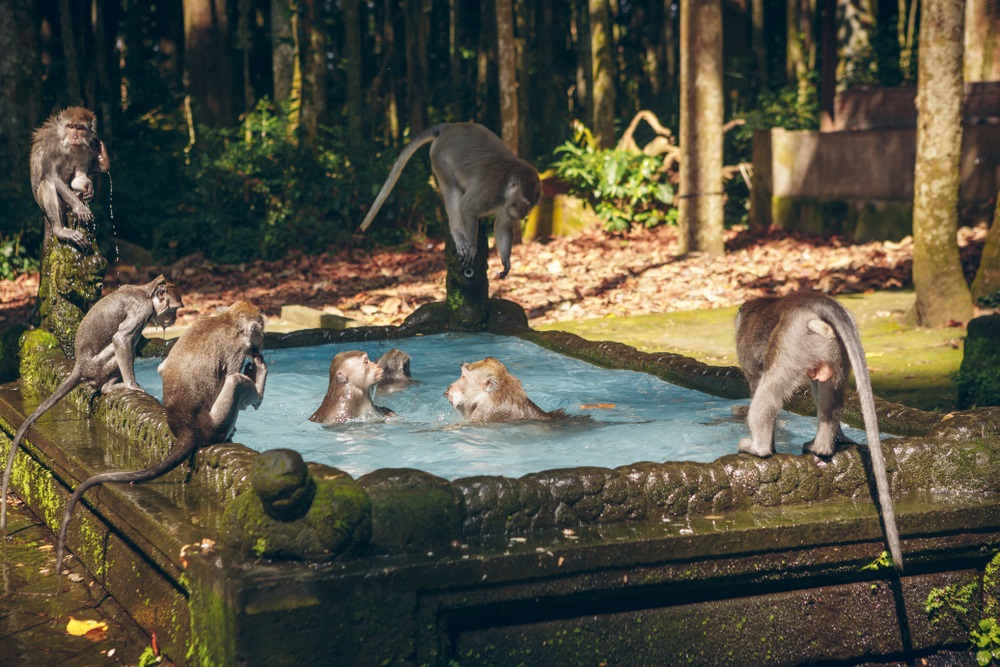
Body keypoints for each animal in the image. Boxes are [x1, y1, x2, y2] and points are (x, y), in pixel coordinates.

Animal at [1, 276, 181, 532]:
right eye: (174, 310)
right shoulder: (141, 310)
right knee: (124, 343)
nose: (175, 320)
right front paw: (132, 385)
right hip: (97, 366)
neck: (146, 292)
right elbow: (122, 339)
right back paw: (109, 386)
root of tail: (79, 366)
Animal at [30, 108, 111, 249]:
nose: (75, 137)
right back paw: (60, 230)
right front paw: (80, 208)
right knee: (47, 184)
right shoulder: (53, 146)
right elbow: (52, 176)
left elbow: (77, 178)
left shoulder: (86, 151)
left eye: (80, 128)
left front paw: (89, 188)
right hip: (45, 204)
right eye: (71, 127)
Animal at [54, 300, 266, 572]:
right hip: (212, 425)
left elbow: (162, 368)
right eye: (260, 333)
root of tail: (186, 427)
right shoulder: (236, 349)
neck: (227, 320)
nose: (261, 344)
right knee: (236, 381)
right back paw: (256, 390)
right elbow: (230, 375)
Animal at [358, 122, 540, 280]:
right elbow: (468, 205)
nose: (522, 215)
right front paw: (472, 248)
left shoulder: (505, 207)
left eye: (529, 208)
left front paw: (506, 262)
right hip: (439, 157)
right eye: (524, 205)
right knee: (452, 190)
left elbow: (503, 225)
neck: (504, 191)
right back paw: (458, 233)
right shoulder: (490, 191)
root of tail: (450, 126)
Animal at [736, 294, 908, 576]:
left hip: (794, 342)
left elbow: (756, 381)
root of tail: (812, 301)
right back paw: (825, 445)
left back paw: (759, 448)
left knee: (769, 392)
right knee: (828, 393)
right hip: (832, 346)